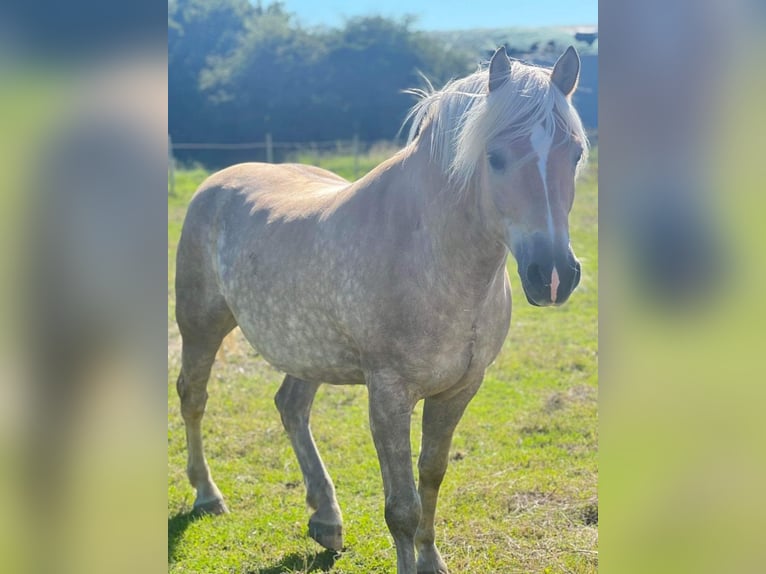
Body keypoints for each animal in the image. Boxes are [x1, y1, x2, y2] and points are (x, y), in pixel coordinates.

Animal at [177, 46, 592, 574]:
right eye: (495, 157)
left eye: (575, 154)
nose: (553, 275)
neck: (428, 253)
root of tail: (218, 181)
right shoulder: (389, 394)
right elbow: (402, 507)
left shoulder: (459, 390)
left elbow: (431, 477)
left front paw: (432, 560)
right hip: (201, 326)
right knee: (193, 397)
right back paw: (208, 495)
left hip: (306, 351)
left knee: (291, 407)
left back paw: (326, 519)